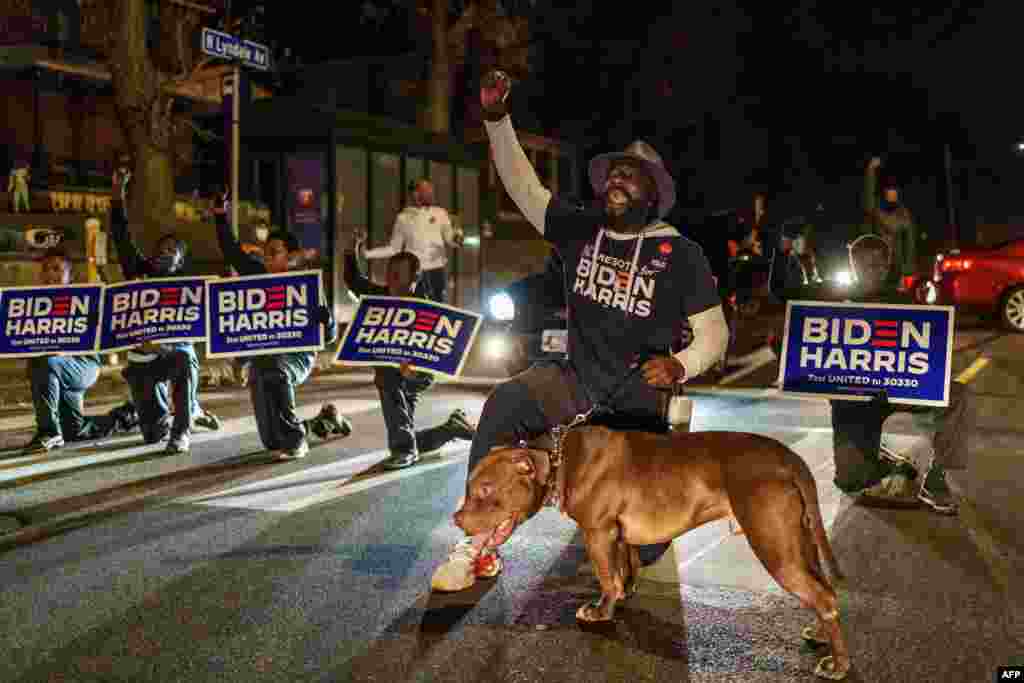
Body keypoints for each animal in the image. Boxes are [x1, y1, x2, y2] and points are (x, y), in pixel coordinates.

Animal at [454, 428, 847, 679]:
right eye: (469, 486)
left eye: (485, 489)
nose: (456, 519)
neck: (560, 460)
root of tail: (789, 458)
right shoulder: (620, 536)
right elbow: (623, 570)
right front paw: (623, 594)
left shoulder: (598, 533)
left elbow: (605, 578)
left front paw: (600, 612)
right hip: (800, 541)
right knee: (823, 591)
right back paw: (819, 633)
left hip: (774, 545)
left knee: (823, 597)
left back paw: (838, 665)